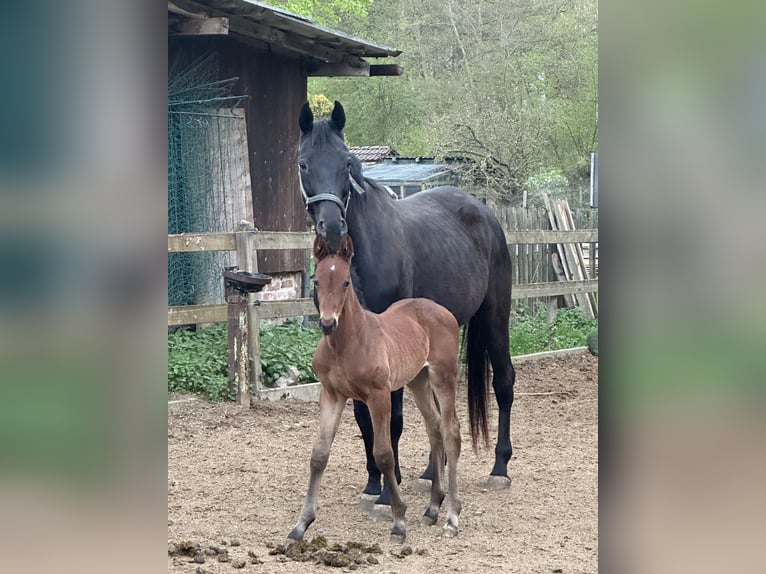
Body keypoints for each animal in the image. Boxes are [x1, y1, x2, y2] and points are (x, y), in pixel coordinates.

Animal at [290, 234, 462, 544]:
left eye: (346, 281)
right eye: (317, 280)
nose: (327, 323)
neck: (347, 344)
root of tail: (443, 311)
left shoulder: (379, 395)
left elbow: (383, 454)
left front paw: (399, 521)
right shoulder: (331, 395)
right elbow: (319, 455)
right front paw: (301, 524)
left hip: (443, 375)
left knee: (450, 430)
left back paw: (452, 517)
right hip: (418, 379)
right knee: (433, 427)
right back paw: (432, 509)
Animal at [296, 101, 520, 506]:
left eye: (346, 163)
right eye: (304, 163)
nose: (332, 227)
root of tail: (483, 213)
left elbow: (394, 420)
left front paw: (388, 491)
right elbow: (364, 418)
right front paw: (374, 483)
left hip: (495, 316)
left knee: (504, 382)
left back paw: (499, 468)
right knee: (437, 405)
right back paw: (432, 473)